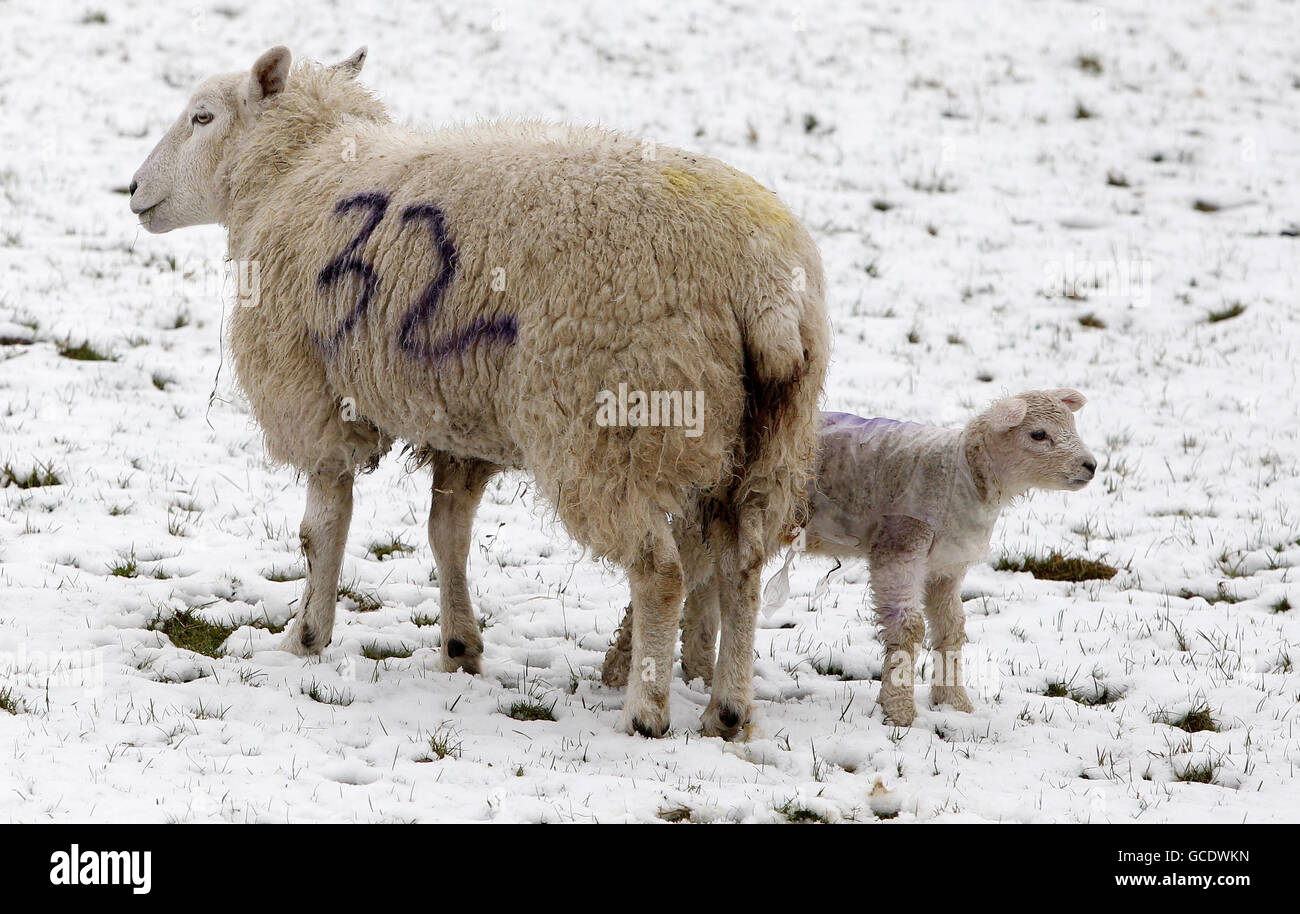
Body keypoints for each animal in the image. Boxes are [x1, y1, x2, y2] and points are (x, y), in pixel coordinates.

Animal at [126, 46, 826, 738]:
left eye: (202, 116)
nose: (132, 190)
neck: (296, 168)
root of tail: (763, 289)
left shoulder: (316, 397)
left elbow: (322, 530)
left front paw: (305, 637)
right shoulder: (460, 419)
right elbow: (448, 534)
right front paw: (460, 647)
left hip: (615, 428)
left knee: (660, 571)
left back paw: (646, 711)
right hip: (766, 441)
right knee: (742, 566)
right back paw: (727, 710)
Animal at [603, 390, 1092, 728]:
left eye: (1072, 426)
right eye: (1038, 434)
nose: (1091, 465)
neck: (962, 474)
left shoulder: (945, 565)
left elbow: (951, 629)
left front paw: (954, 704)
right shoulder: (900, 543)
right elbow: (907, 627)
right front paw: (899, 712)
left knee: (705, 590)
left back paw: (701, 673)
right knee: (678, 575)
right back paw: (621, 671)